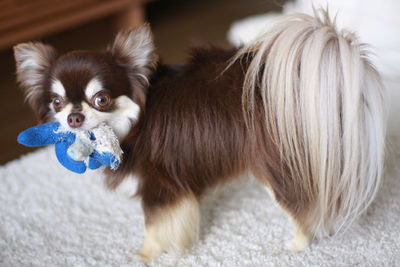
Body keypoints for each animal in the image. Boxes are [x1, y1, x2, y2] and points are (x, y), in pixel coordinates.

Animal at [14, 10, 386, 262]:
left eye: (101, 99)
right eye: (57, 102)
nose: (73, 116)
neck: (131, 122)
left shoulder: (161, 187)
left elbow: (154, 229)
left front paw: (146, 256)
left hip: (275, 168)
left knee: (300, 209)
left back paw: (297, 245)